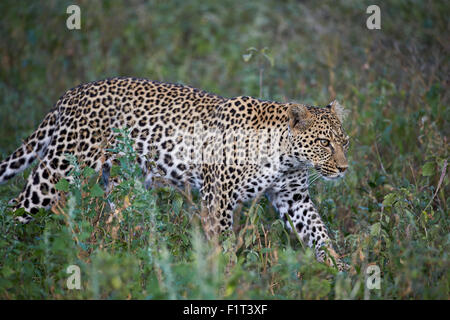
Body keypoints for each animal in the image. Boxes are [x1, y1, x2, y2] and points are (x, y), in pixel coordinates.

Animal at [0, 77, 352, 270]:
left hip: (119, 184)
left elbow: (319, 234)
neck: (284, 157)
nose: (344, 168)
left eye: (344, 141)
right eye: (324, 143)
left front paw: (342, 271)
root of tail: (71, 94)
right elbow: (223, 243)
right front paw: (227, 276)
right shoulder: (218, 197)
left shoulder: (294, 198)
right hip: (57, 171)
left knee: (112, 226)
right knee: (14, 207)